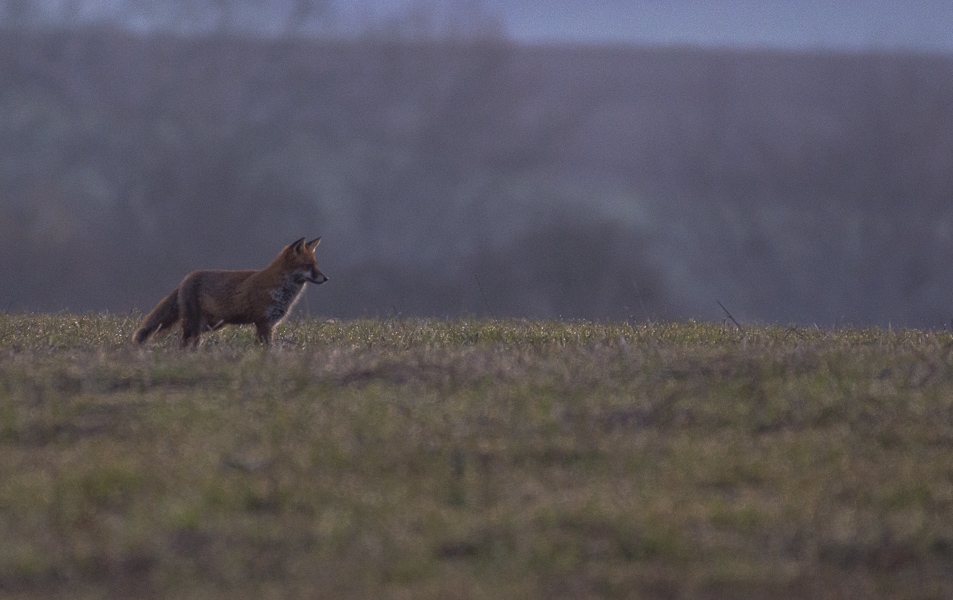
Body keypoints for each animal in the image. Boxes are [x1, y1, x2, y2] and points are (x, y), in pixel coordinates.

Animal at [133, 237, 328, 348]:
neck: (280, 289)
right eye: (308, 266)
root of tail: (186, 278)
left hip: (208, 326)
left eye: (316, 265)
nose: (326, 278)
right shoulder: (263, 322)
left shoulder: (270, 324)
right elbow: (264, 349)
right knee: (183, 344)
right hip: (194, 325)